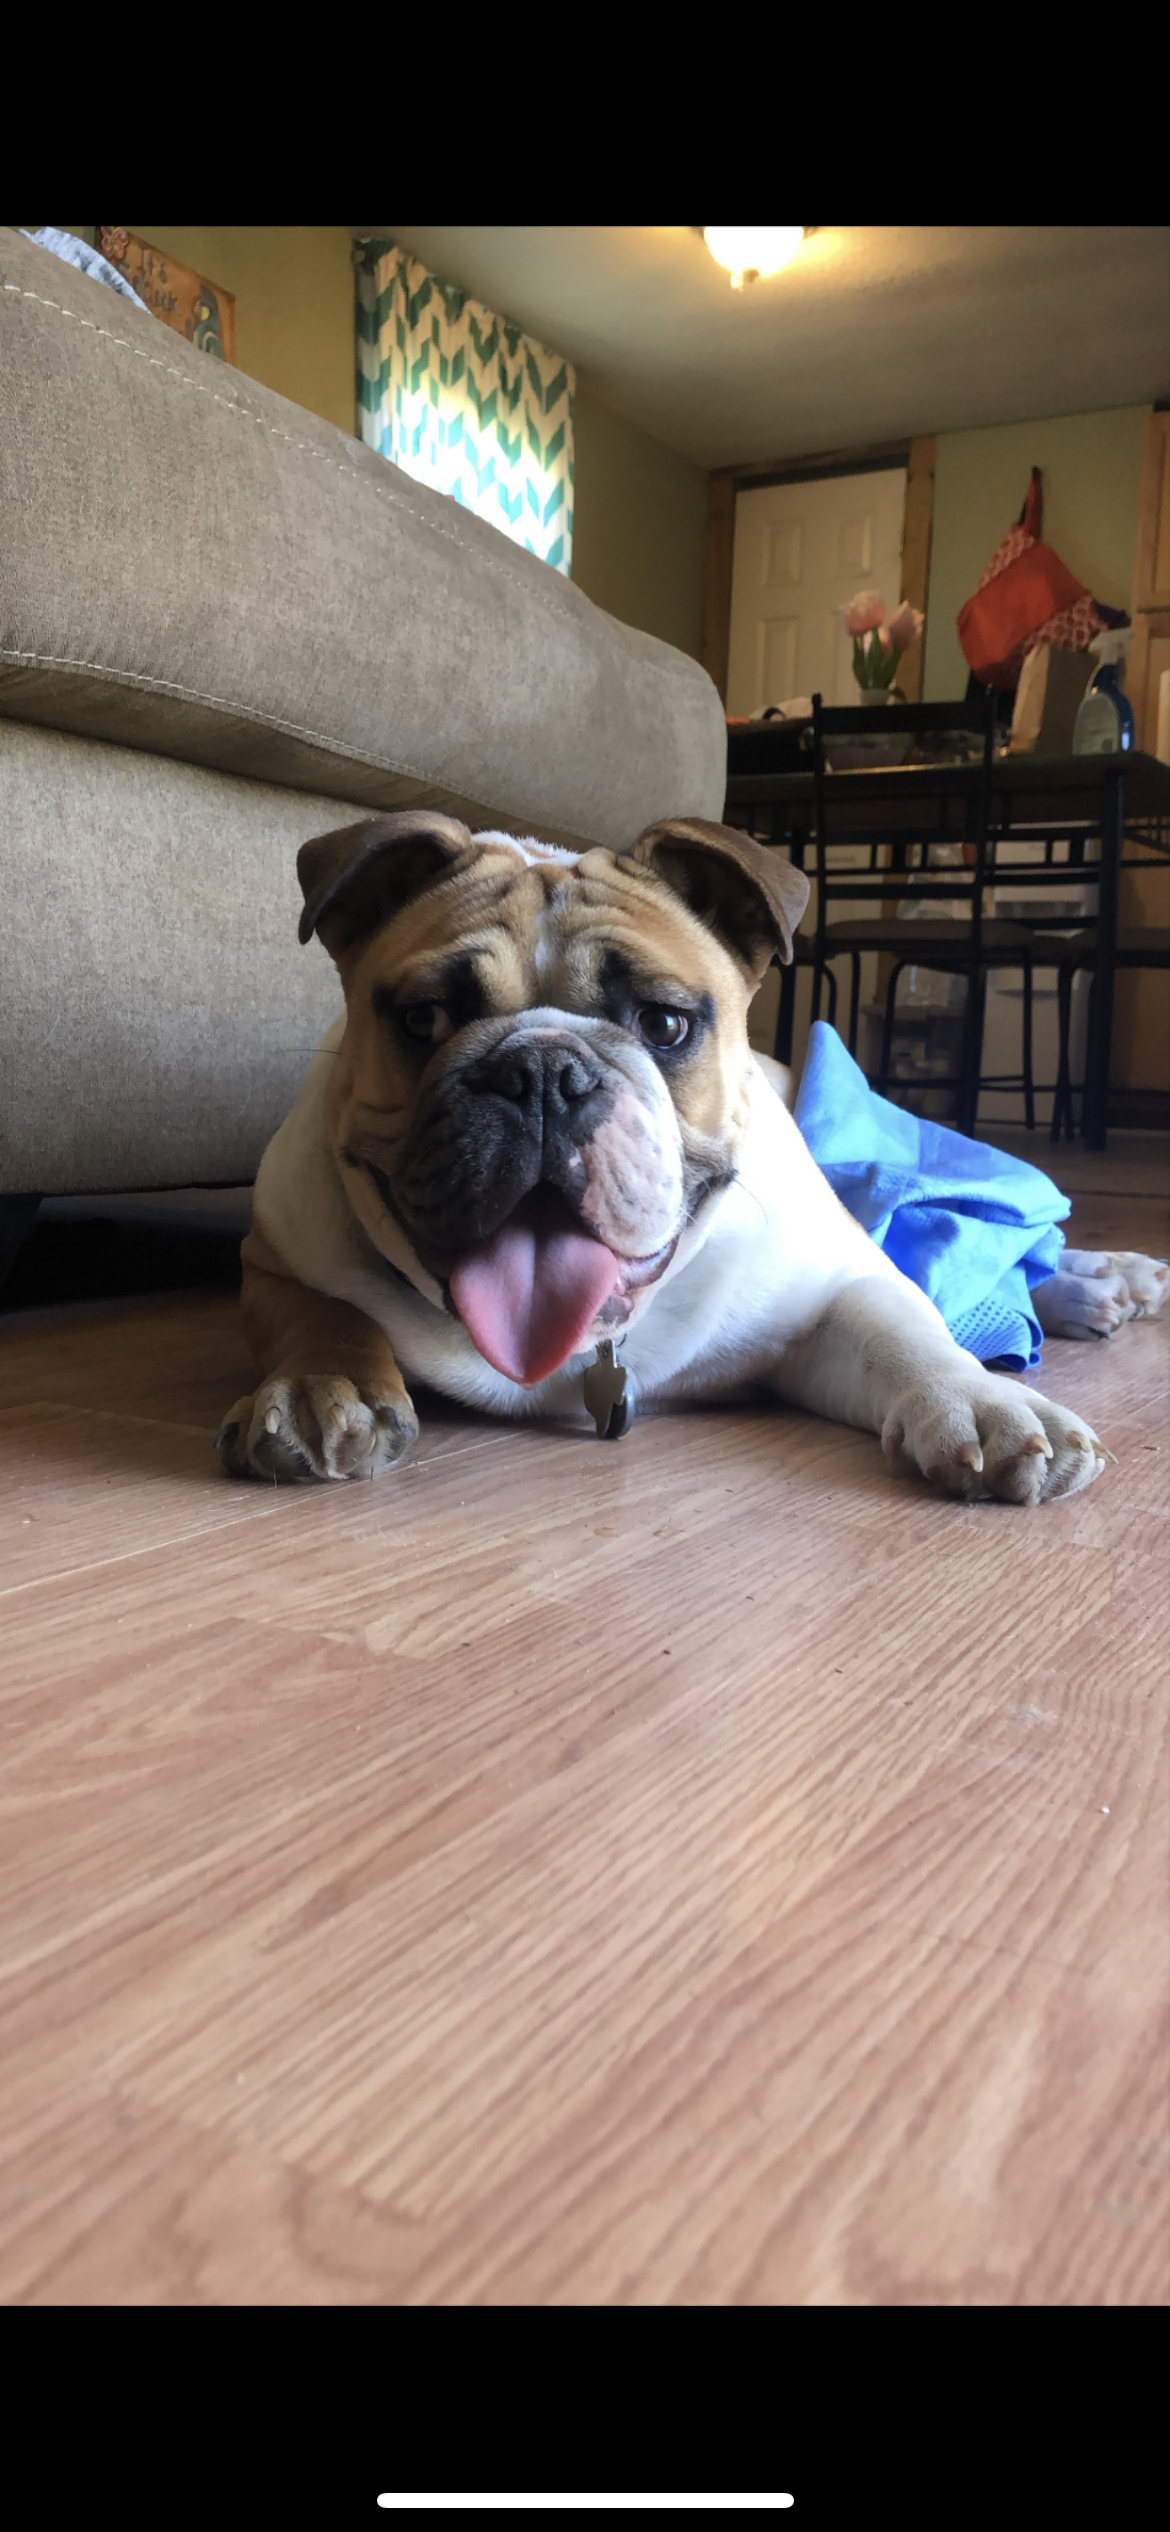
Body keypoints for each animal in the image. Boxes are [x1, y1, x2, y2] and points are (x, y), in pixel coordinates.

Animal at [217, 813, 1167, 1506]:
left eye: (665, 1024)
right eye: (423, 1019)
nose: (540, 1073)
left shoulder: (832, 1294)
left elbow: (908, 1332)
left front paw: (983, 1402)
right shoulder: (275, 1257)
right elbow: (323, 1313)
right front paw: (322, 1389)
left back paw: (1103, 1278)